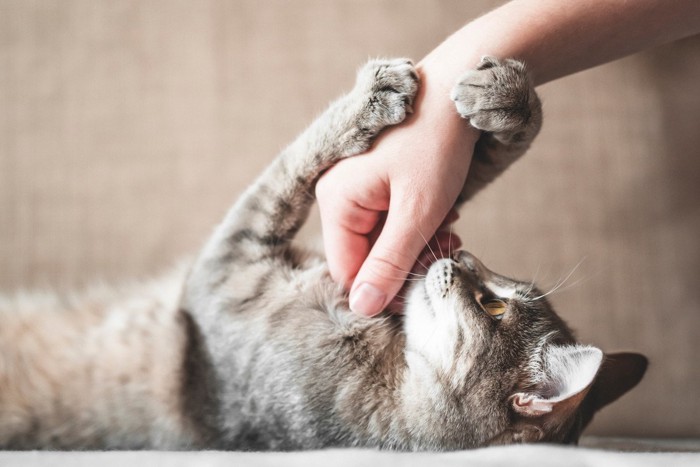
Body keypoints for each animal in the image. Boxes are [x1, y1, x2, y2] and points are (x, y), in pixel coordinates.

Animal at [0, 56, 644, 452]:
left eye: (493, 306)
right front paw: (509, 103)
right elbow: (453, 170)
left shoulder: (226, 269)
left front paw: (372, 96)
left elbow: (291, 168)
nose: (464, 259)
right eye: (498, 288)